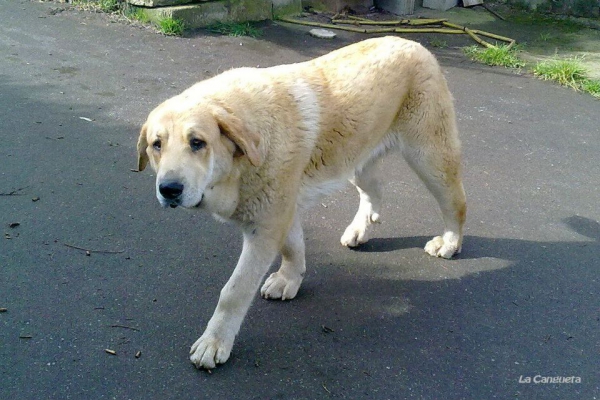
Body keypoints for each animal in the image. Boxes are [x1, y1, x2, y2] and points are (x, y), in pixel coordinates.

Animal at [138, 36, 466, 368]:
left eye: (197, 143)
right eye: (157, 145)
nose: (169, 189)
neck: (243, 157)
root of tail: (410, 42)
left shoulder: (266, 226)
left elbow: (234, 291)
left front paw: (214, 341)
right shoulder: (281, 211)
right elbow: (293, 248)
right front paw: (290, 279)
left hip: (430, 158)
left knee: (456, 201)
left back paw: (450, 242)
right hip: (356, 162)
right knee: (374, 191)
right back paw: (359, 230)